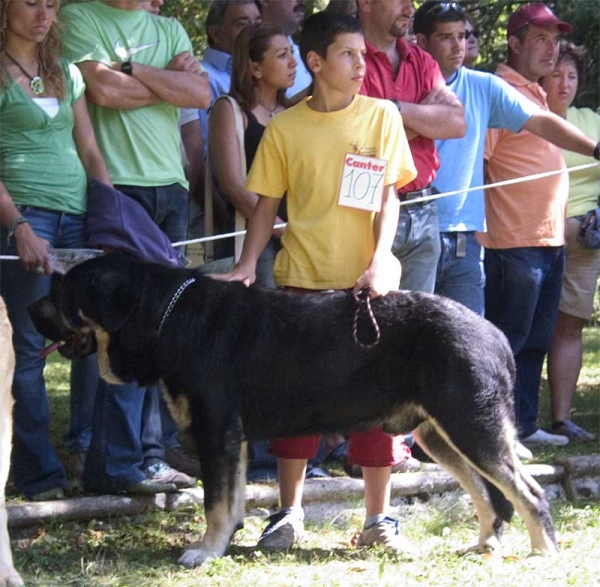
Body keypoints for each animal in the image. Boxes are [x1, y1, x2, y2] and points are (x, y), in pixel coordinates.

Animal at [27, 255, 552, 568]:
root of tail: (495, 334)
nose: (31, 311)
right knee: (487, 493)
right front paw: (224, 544)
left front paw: (205, 551)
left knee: (527, 492)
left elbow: (216, 503)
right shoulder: (231, 439)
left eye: (63, 294)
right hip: (440, 432)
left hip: (471, 424)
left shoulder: (216, 432)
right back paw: (484, 544)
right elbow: (231, 500)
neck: (166, 317)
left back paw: (542, 552)